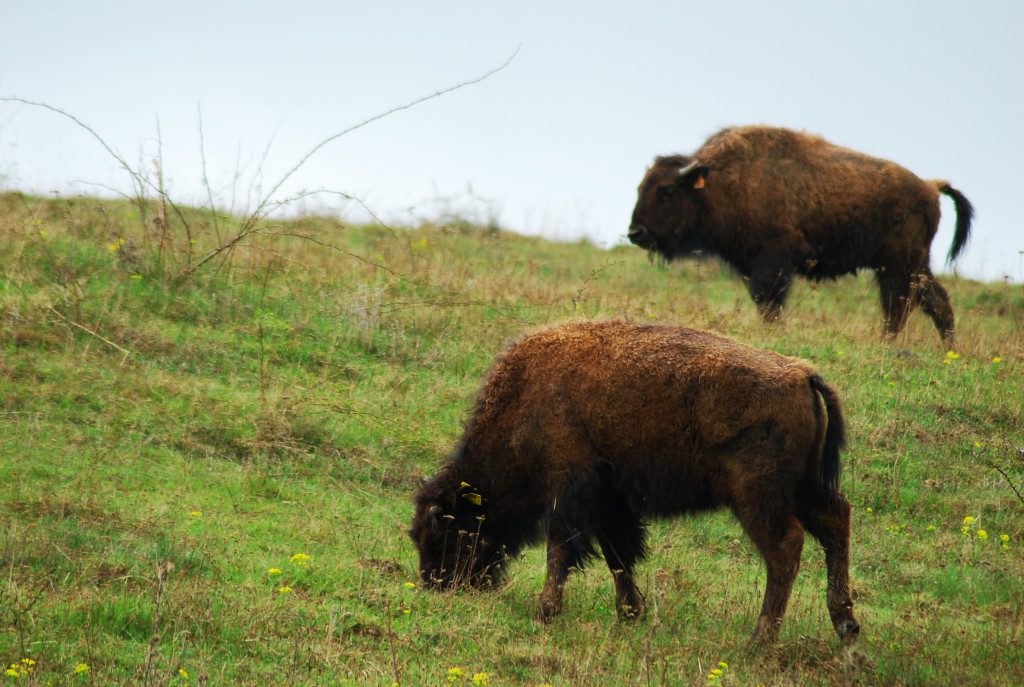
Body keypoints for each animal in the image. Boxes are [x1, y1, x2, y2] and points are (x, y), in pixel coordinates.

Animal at [411, 321, 860, 647]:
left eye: (446, 531)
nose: (438, 586)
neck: (524, 397)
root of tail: (802, 375)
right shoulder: (611, 501)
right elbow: (618, 555)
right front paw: (630, 614)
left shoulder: (569, 487)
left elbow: (562, 550)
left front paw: (545, 612)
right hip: (804, 488)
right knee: (836, 522)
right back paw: (846, 625)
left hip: (758, 496)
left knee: (785, 548)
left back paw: (759, 642)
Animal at [626, 124, 970, 344]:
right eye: (641, 188)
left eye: (667, 190)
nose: (635, 232)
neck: (719, 182)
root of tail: (929, 186)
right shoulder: (750, 265)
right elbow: (764, 301)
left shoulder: (774, 261)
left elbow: (769, 300)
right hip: (913, 265)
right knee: (933, 300)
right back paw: (946, 349)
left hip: (898, 266)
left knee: (900, 305)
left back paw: (889, 344)